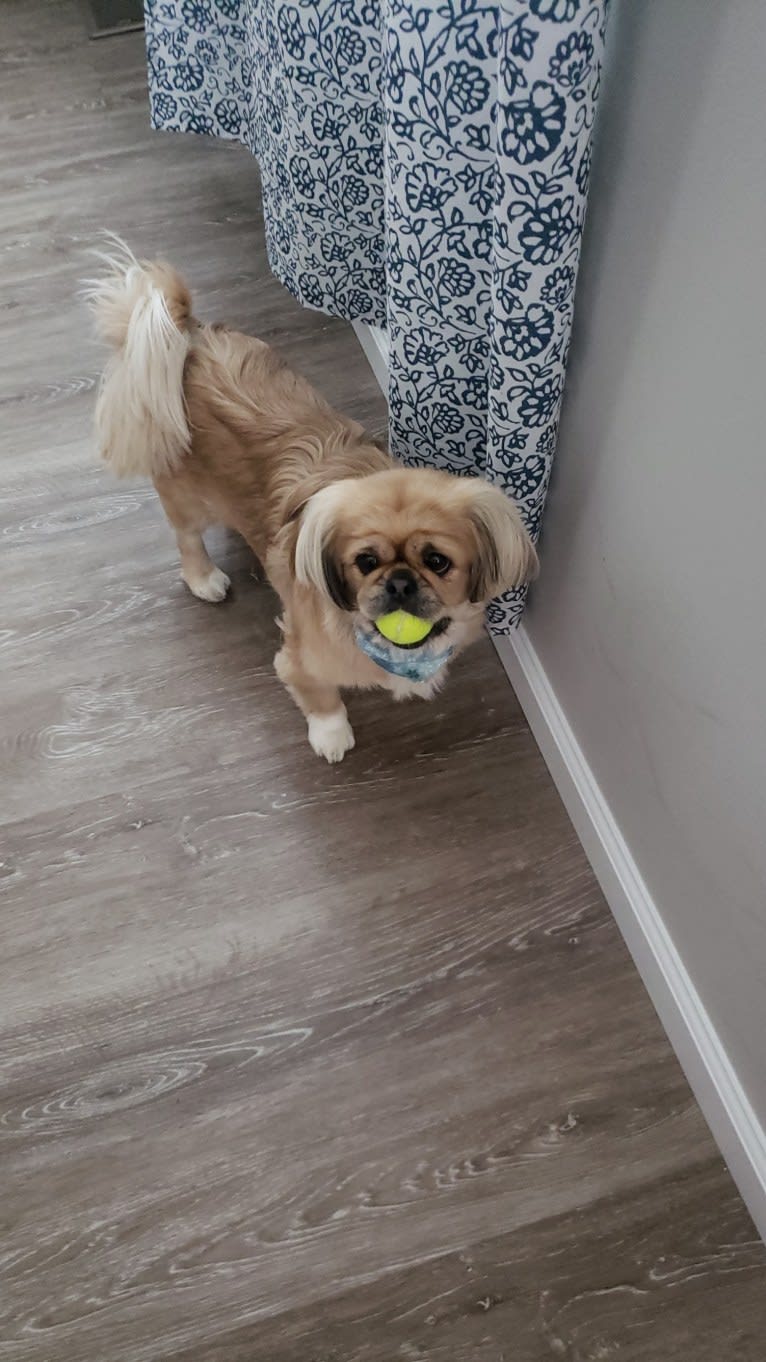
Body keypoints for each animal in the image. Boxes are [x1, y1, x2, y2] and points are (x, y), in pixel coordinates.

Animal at [86, 239, 534, 762]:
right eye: (365, 562)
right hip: (185, 493)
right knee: (187, 537)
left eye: (438, 562)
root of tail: (190, 339)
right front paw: (332, 736)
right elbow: (321, 697)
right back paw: (205, 579)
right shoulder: (297, 660)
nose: (400, 582)